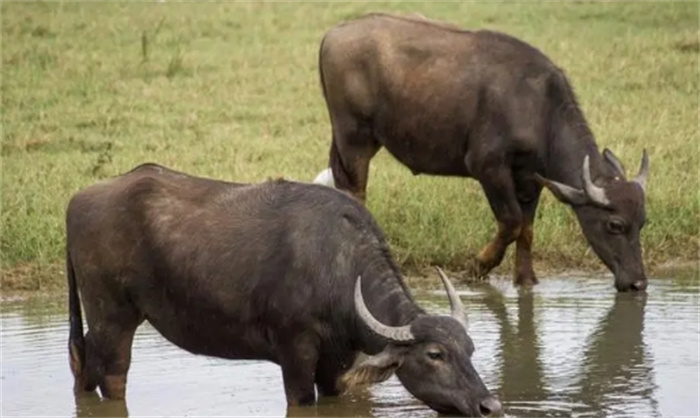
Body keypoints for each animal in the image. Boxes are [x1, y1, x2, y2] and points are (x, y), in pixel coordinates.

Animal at [314, 13, 652, 294]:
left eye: (643, 222)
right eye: (615, 225)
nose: (638, 283)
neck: (539, 109)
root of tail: (332, 34)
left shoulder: (530, 179)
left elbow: (527, 229)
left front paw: (525, 280)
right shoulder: (488, 168)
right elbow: (511, 222)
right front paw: (477, 267)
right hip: (354, 138)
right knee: (355, 191)